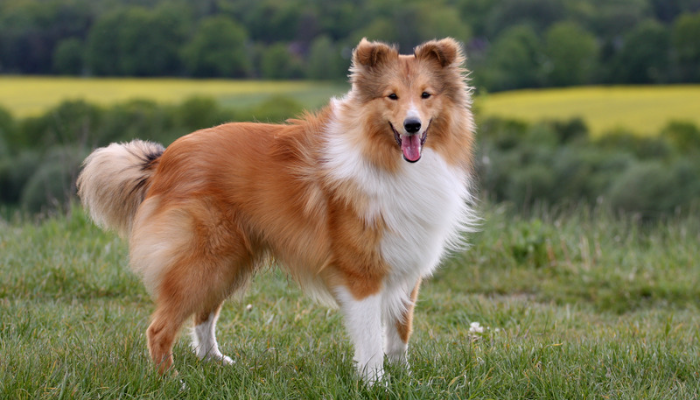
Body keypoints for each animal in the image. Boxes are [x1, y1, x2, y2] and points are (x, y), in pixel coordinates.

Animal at [79, 38, 478, 384]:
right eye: (391, 96)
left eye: (426, 95)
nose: (412, 125)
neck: (387, 158)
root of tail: (164, 159)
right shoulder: (362, 273)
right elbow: (370, 339)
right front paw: (376, 383)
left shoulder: (406, 266)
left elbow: (399, 332)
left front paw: (405, 377)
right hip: (202, 259)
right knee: (159, 327)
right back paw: (172, 381)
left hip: (227, 261)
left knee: (203, 315)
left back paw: (215, 362)